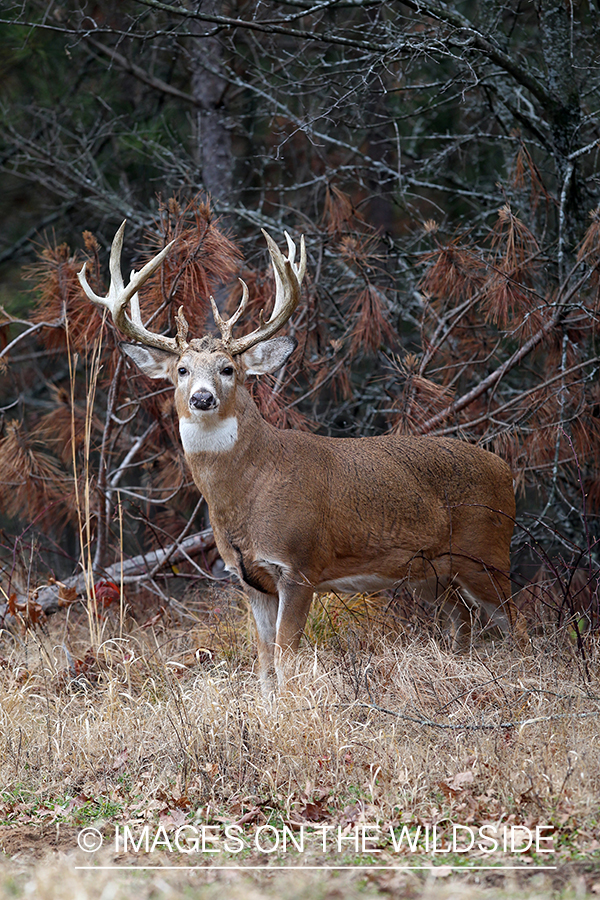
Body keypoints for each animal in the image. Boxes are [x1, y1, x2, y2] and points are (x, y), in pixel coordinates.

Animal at [78, 220, 524, 696]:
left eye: (228, 369)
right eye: (181, 370)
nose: (201, 398)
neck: (247, 494)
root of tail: (505, 469)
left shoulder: (299, 564)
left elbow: (286, 657)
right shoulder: (250, 579)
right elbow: (264, 664)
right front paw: (267, 705)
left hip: (487, 552)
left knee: (515, 622)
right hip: (430, 572)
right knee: (463, 620)